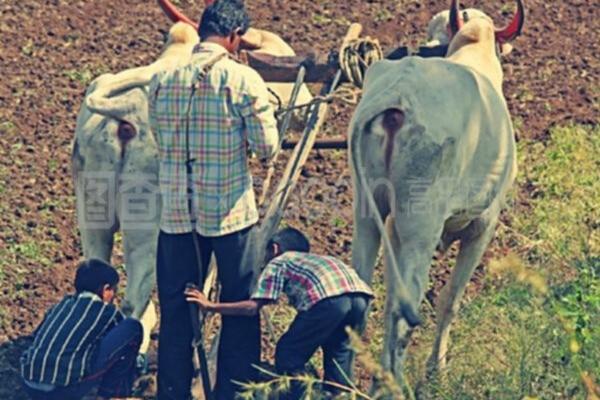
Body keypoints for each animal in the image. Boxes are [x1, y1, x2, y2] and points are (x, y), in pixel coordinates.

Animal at [350, 0, 524, 380]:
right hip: (421, 230)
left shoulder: (392, 230)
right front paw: (436, 366)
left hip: (368, 215)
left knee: (357, 297)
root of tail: (399, 96)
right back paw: (394, 383)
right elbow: (450, 300)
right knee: (405, 315)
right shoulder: (482, 227)